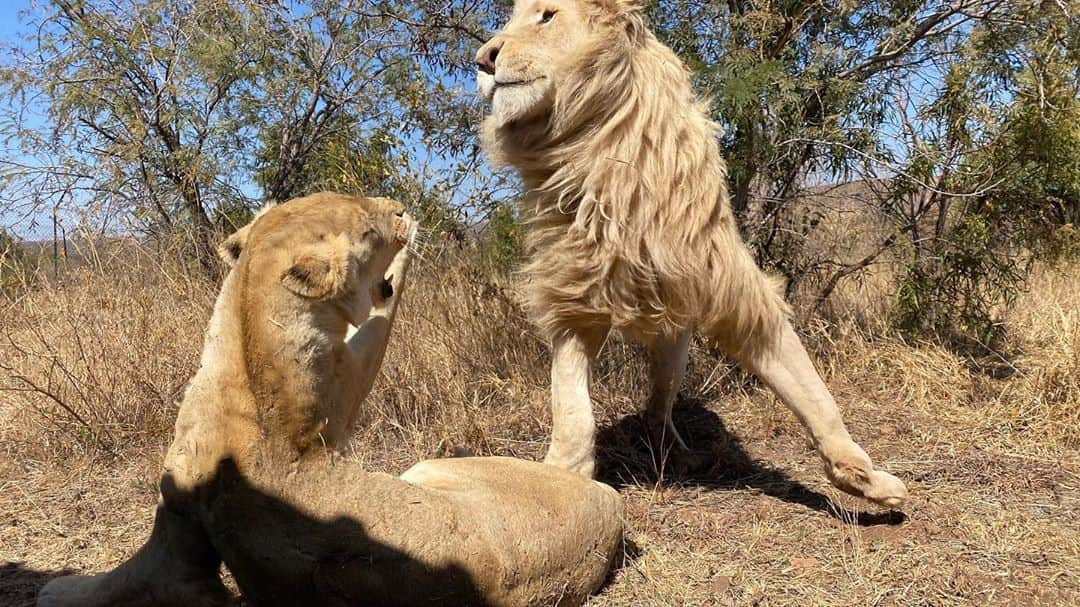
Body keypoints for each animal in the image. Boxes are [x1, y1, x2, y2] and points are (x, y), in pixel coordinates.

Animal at [38, 192, 622, 604]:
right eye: (367, 227)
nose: (400, 206)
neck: (244, 358)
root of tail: (604, 501)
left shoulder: (179, 524)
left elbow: (133, 576)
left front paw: (55, 590)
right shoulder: (343, 389)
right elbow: (381, 322)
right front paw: (403, 258)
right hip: (435, 466)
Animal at [477, 0, 907, 505]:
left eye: (547, 16)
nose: (483, 60)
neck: (595, 144)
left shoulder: (735, 288)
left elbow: (814, 394)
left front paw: (864, 479)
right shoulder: (576, 292)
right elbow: (570, 405)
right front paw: (563, 474)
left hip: (676, 337)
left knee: (659, 407)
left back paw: (680, 455)